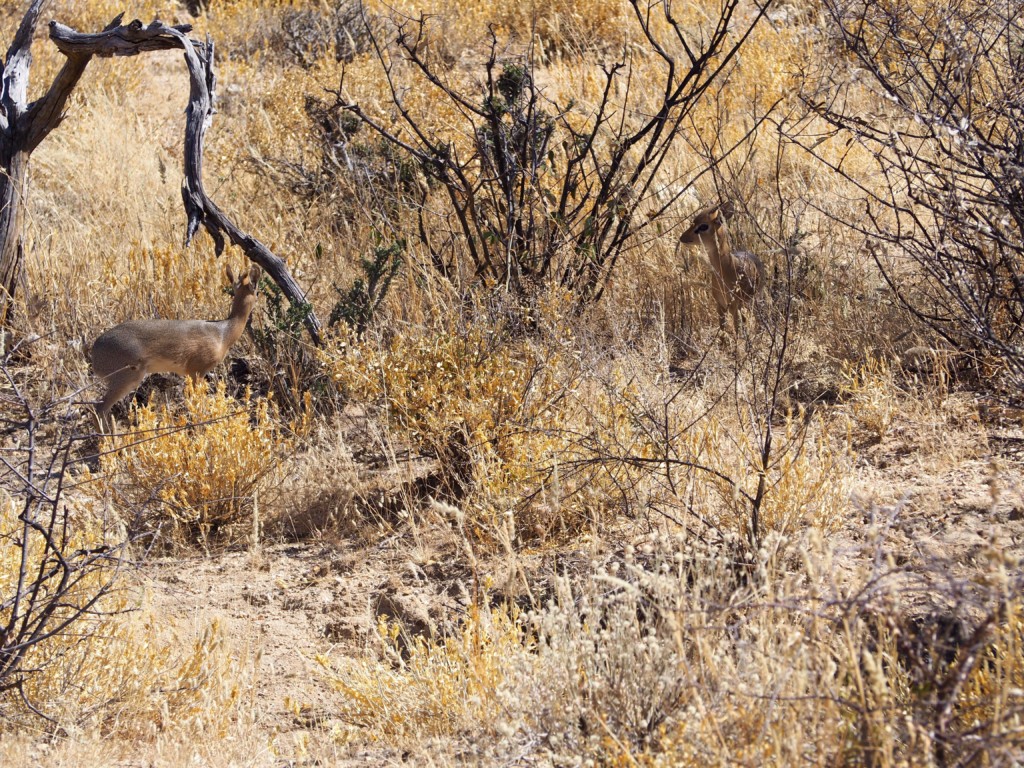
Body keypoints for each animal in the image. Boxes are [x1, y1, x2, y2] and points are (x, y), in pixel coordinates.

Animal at [90, 264, 262, 434]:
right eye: (257, 291)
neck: (222, 333)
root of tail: (94, 351)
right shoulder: (197, 372)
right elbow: (197, 403)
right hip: (127, 378)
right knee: (99, 408)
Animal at [675, 201, 765, 333]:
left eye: (703, 226)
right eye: (694, 221)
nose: (682, 238)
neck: (727, 269)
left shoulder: (734, 306)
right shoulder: (720, 305)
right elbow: (723, 329)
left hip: (754, 300)